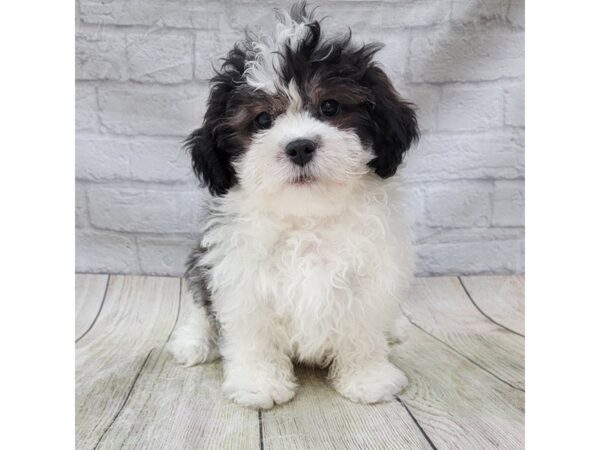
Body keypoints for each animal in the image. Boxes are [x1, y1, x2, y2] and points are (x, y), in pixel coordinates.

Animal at [166, 1, 420, 410]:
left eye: (330, 106)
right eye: (262, 119)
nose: (299, 146)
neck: (307, 217)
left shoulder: (367, 280)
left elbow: (361, 333)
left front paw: (368, 378)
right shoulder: (242, 280)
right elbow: (253, 338)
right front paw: (258, 384)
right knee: (200, 307)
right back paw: (193, 341)